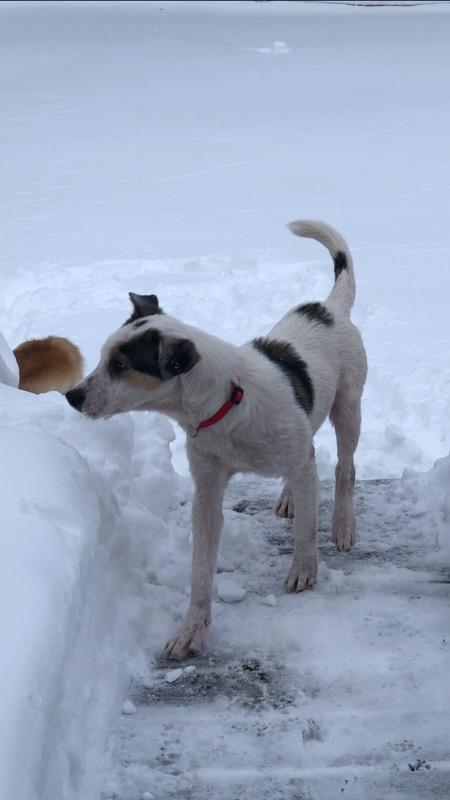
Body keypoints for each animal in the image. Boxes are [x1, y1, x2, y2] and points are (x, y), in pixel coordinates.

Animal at [66, 220, 366, 664]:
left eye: (120, 365)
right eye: (104, 360)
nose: (72, 396)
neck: (226, 402)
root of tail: (329, 307)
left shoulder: (297, 455)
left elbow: (307, 529)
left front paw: (305, 569)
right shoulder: (207, 487)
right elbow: (201, 567)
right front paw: (191, 629)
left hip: (348, 405)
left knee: (344, 467)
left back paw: (343, 525)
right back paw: (290, 497)